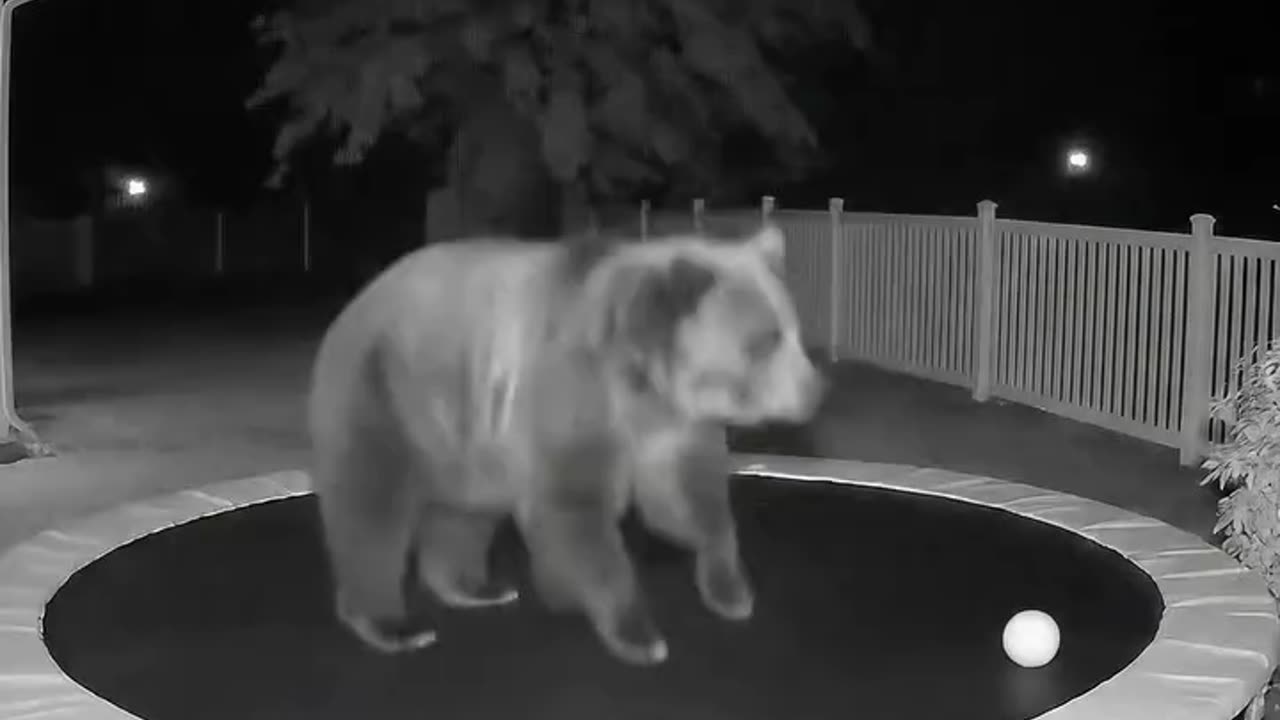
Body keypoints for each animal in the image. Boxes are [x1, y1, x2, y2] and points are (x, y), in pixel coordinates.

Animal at [305, 221, 825, 666]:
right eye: (764, 341)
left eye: (796, 331)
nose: (816, 391)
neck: (643, 386)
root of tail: (358, 300)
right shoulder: (576, 402)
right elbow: (576, 511)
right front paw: (637, 632)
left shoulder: (672, 431)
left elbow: (689, 501)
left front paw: (731, 589)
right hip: (385, 393)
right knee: (371, 507)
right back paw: (391, 623)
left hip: (468, 433)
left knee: (465, 512)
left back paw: (473, 587)